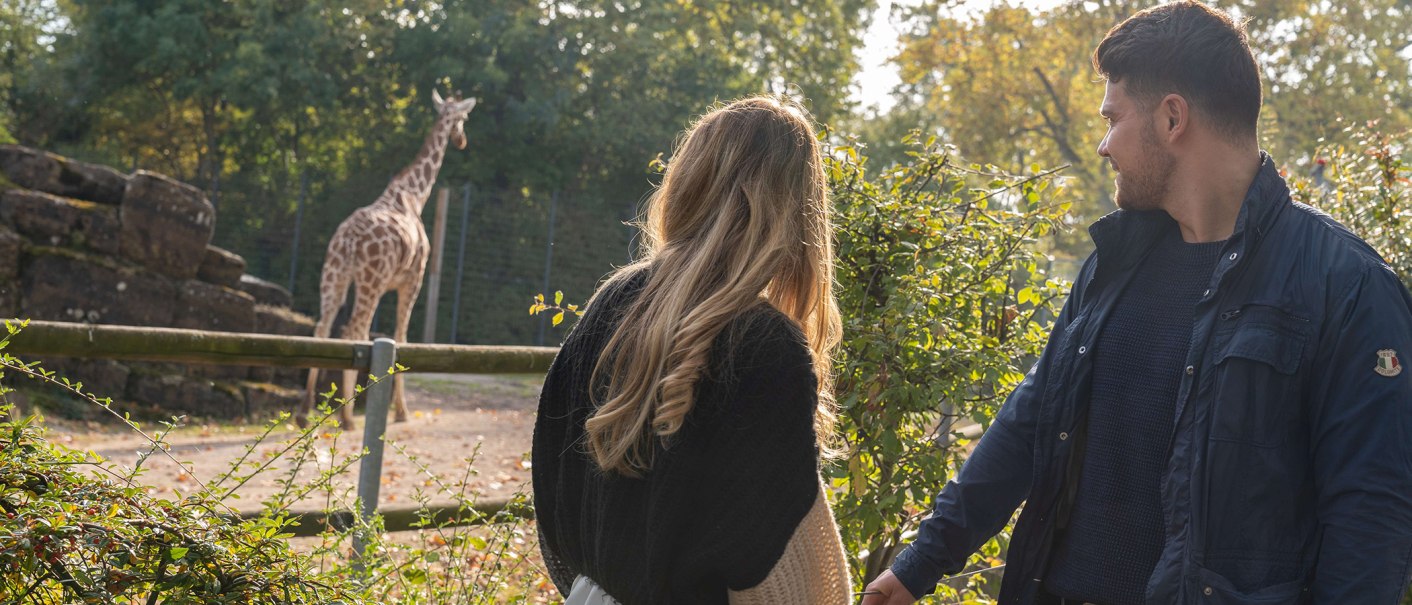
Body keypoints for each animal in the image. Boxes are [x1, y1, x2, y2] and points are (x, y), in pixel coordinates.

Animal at [298, 90, 478, 429]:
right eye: (464, 118)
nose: (462, 140)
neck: (414, 196)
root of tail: (349, 241)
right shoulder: (412, 280)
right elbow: (401, 337)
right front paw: (401, 411)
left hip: (334, 276)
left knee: (323, 327)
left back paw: (304, 412)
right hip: (371, 281)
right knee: (354, 330)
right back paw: (347, 417)